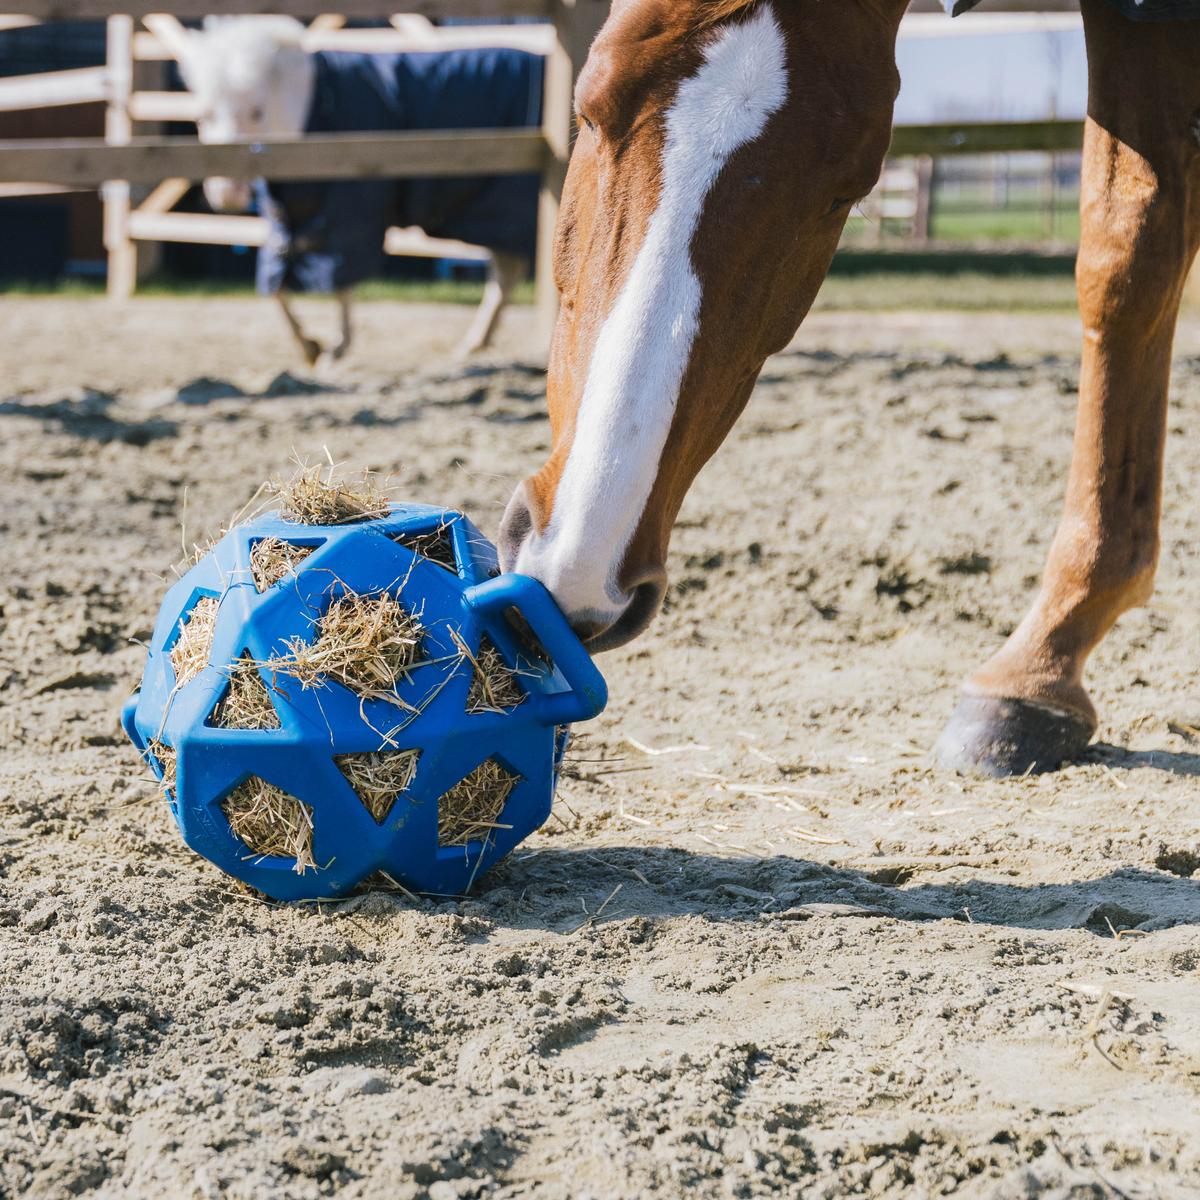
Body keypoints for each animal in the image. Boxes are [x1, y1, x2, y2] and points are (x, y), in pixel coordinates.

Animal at [175, 17, 543, 365]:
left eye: (256, 111)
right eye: (203, 116)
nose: (227, 194)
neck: (312, 110)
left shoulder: (348, 218)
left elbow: (342, 283)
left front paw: (337, 347)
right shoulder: (290, 221)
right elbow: (276, 285)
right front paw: (309, 345)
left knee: (508, 273)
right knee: (506, 274)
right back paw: (476, 342)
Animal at [497, 0, 1200, 778]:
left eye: (847, 190)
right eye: (588, 112)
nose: (579, 571)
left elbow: (1127, 254)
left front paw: (1040, 667)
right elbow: (1128, 246)